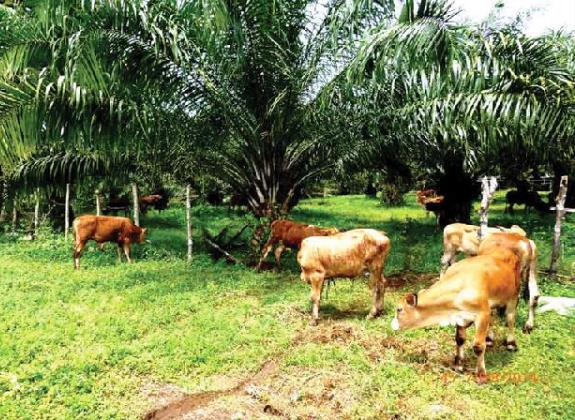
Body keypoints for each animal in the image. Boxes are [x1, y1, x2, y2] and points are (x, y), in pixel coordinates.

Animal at [394, 233, 528, 384]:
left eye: (399, 309)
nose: (393, 324)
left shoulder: (482, 314)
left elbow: (478, 346)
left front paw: (481, 374)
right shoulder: (461, 315)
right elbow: (459, 339)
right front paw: (458, 364)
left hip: (514, 294)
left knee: (510, 318)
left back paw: (511, 343)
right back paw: (489, 338)